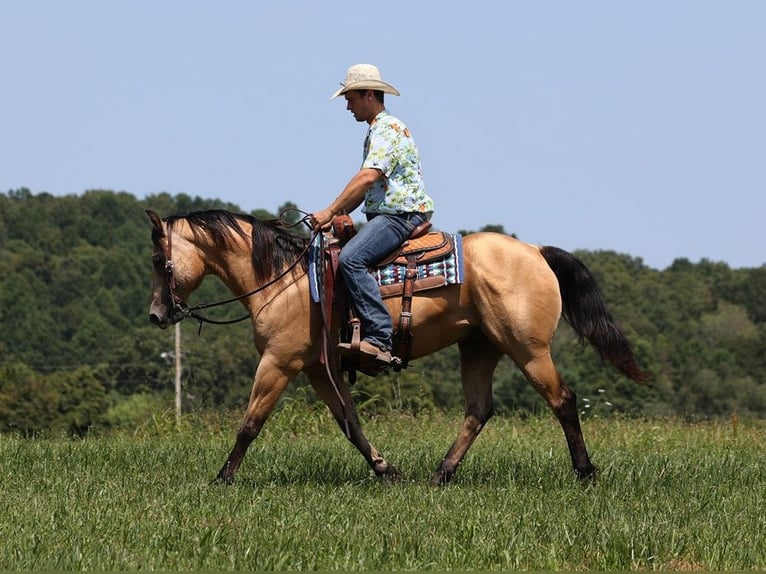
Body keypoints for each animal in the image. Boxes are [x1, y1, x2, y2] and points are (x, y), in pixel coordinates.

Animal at [147, 207, 652, 486]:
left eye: (159, 259)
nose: (156, 314)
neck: (284, 280)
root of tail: (535, 250)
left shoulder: (279, 362)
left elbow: (249, 425)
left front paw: (222, 478)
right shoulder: (318, 369)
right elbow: (351, 425)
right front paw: (386, 471)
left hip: (528, 350)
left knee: (562, 400)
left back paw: (585, 473)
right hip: (479, 348)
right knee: (479, 411)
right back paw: (440, 475)